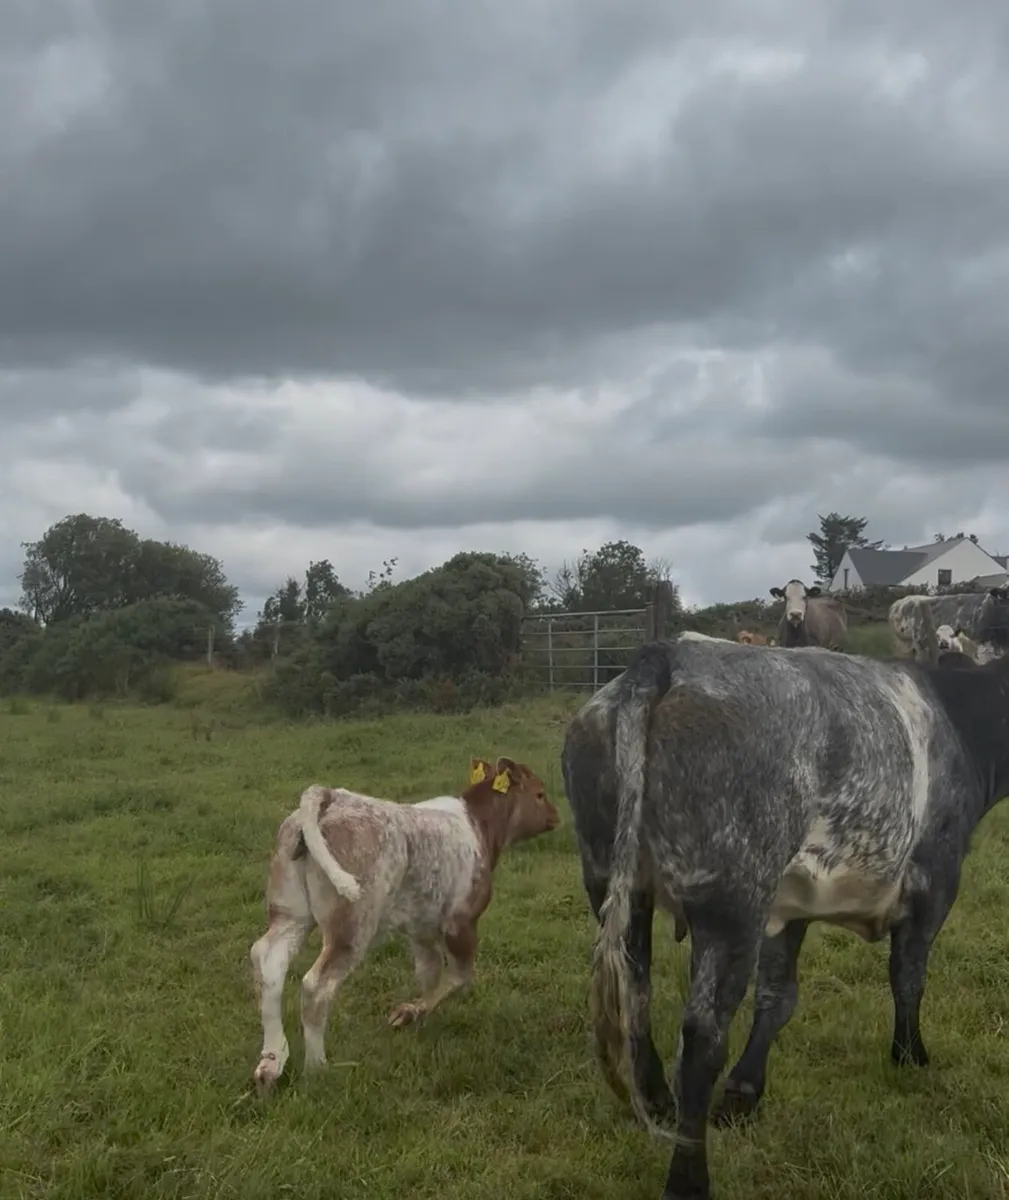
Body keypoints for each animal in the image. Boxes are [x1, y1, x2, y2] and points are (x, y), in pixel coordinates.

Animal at [249, 756, 559, 1095]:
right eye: (540, 794)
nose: (555, 817)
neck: (480, 825)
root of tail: (332, 797)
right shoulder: (461, 921)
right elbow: (459, 976)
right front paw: (410, 1013)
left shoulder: (420, 926)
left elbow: (429, 971)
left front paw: (421, 1018)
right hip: (352, 926)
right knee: (317, 986)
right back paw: (317, 1069)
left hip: (290, 913)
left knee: (269, 961)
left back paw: (271, 1063)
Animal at [560, 636, 1009, 1199]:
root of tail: (669, 654)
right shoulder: (935, 881)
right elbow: (908, 978)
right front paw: (910, 1057)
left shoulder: (790, 906)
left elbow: (778, 998)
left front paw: (744, 1093)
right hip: (733, 903)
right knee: (702, 1035)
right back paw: (688, 1179)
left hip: (611, 879)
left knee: (636, 996)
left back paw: (658, 1102)